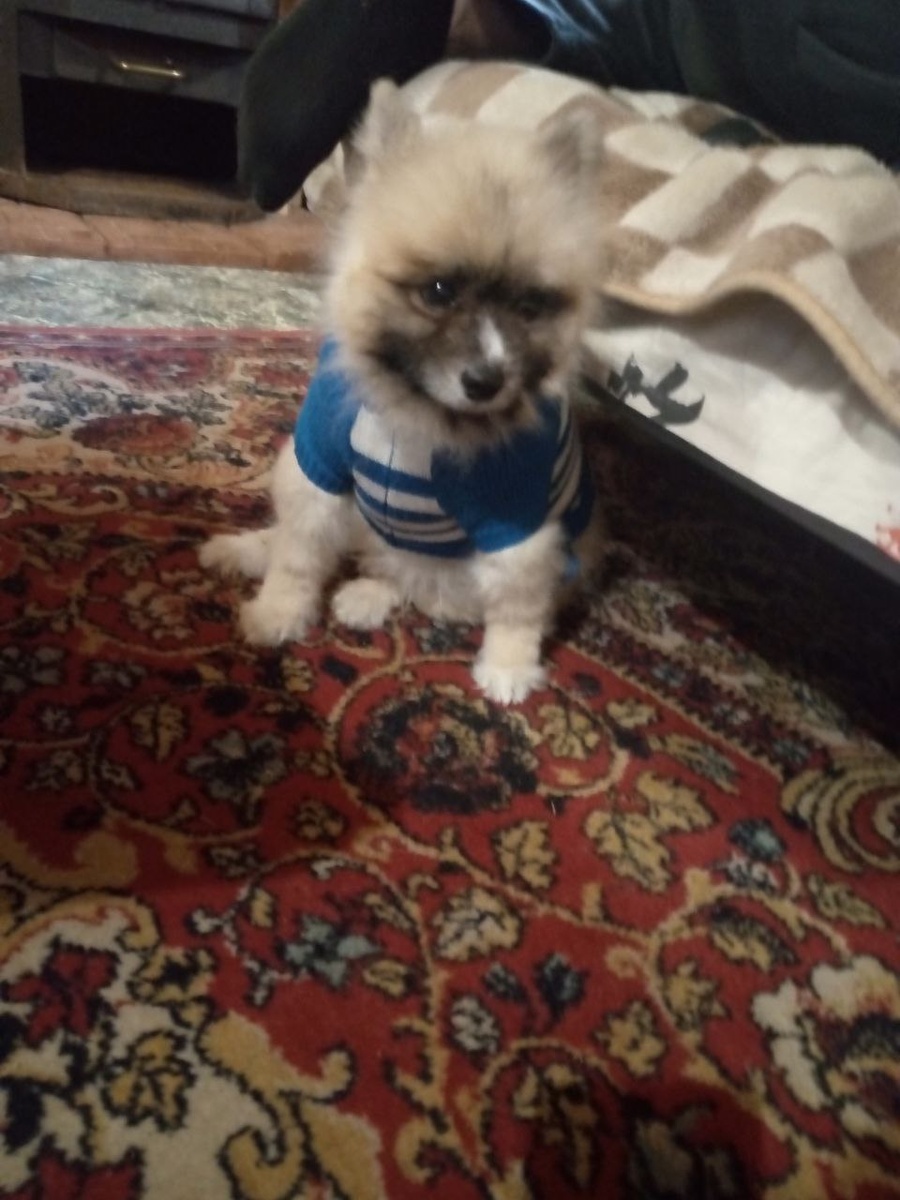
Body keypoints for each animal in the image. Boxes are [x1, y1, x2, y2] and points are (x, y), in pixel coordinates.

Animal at [201, 79, 606, 704]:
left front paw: (510, 668)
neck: (415, 410)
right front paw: (279, 612)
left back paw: (364, 597)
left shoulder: (516, 520)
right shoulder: (318, 469)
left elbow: (517, 606)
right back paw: (247, 550)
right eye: (438, 291)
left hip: (462, 569)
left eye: (528, 307)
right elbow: (297, 557)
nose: (487, 381)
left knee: (421, 584)